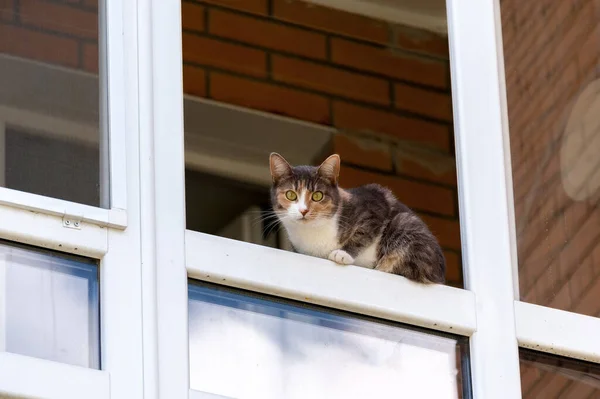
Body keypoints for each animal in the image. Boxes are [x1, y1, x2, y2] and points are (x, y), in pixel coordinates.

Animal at [270, 152, 446, 286]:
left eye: (317, 196)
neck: (311, 233)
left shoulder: (375, 207)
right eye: (290, 195)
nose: (304, 210)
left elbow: (362, 234)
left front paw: (343, 253)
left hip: (405, 225)